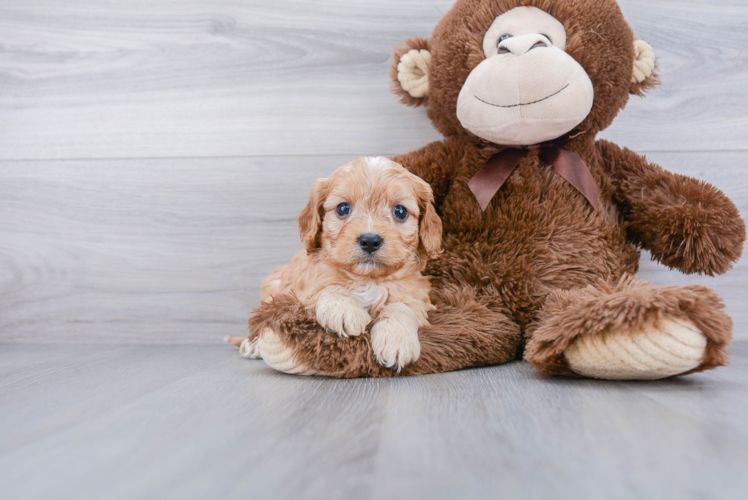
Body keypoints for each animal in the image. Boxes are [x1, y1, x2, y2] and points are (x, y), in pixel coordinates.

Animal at [225, 156, 442, 372]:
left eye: (400, 211)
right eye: (343, 208)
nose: (370, 240)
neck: (367, 279)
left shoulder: (416, 295)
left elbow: (402, 307)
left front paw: (396, 340)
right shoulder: (302, 292)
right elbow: (328, 287)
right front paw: (344, 310)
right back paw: (251, 346)